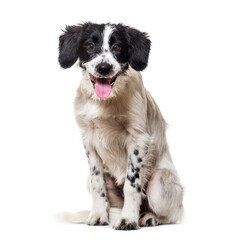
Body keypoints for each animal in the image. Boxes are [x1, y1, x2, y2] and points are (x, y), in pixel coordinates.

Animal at [57, 22, 184, 231]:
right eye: (90, 45)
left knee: (170, 216)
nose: (104, 68)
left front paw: (128, 219)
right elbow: (97, 181)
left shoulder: (138, 139)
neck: (106, 101)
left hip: (159, 183)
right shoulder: (88, 139)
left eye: (117, 47)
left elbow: (132, 185)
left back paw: (148, 218)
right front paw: (98, 215)